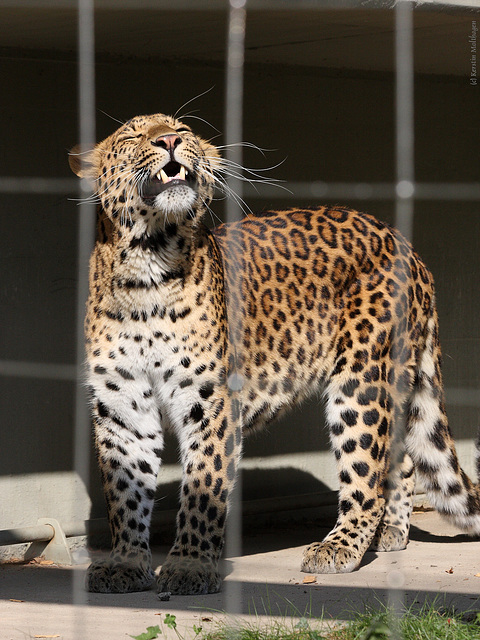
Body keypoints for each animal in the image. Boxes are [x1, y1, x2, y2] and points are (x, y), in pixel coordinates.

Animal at [68, 110, 480, 596]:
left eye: (182, 129)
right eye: (134, 135)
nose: (169, 141)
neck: (145, 272)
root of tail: (411, 250)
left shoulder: (210, 403)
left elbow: (203, 488)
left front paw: (190, 566)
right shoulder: (122, 407)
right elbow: (125, 492)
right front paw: (126, 564)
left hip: (363, 379)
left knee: (367, 469)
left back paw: (341, 546)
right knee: (400, 459)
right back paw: (390, 533)